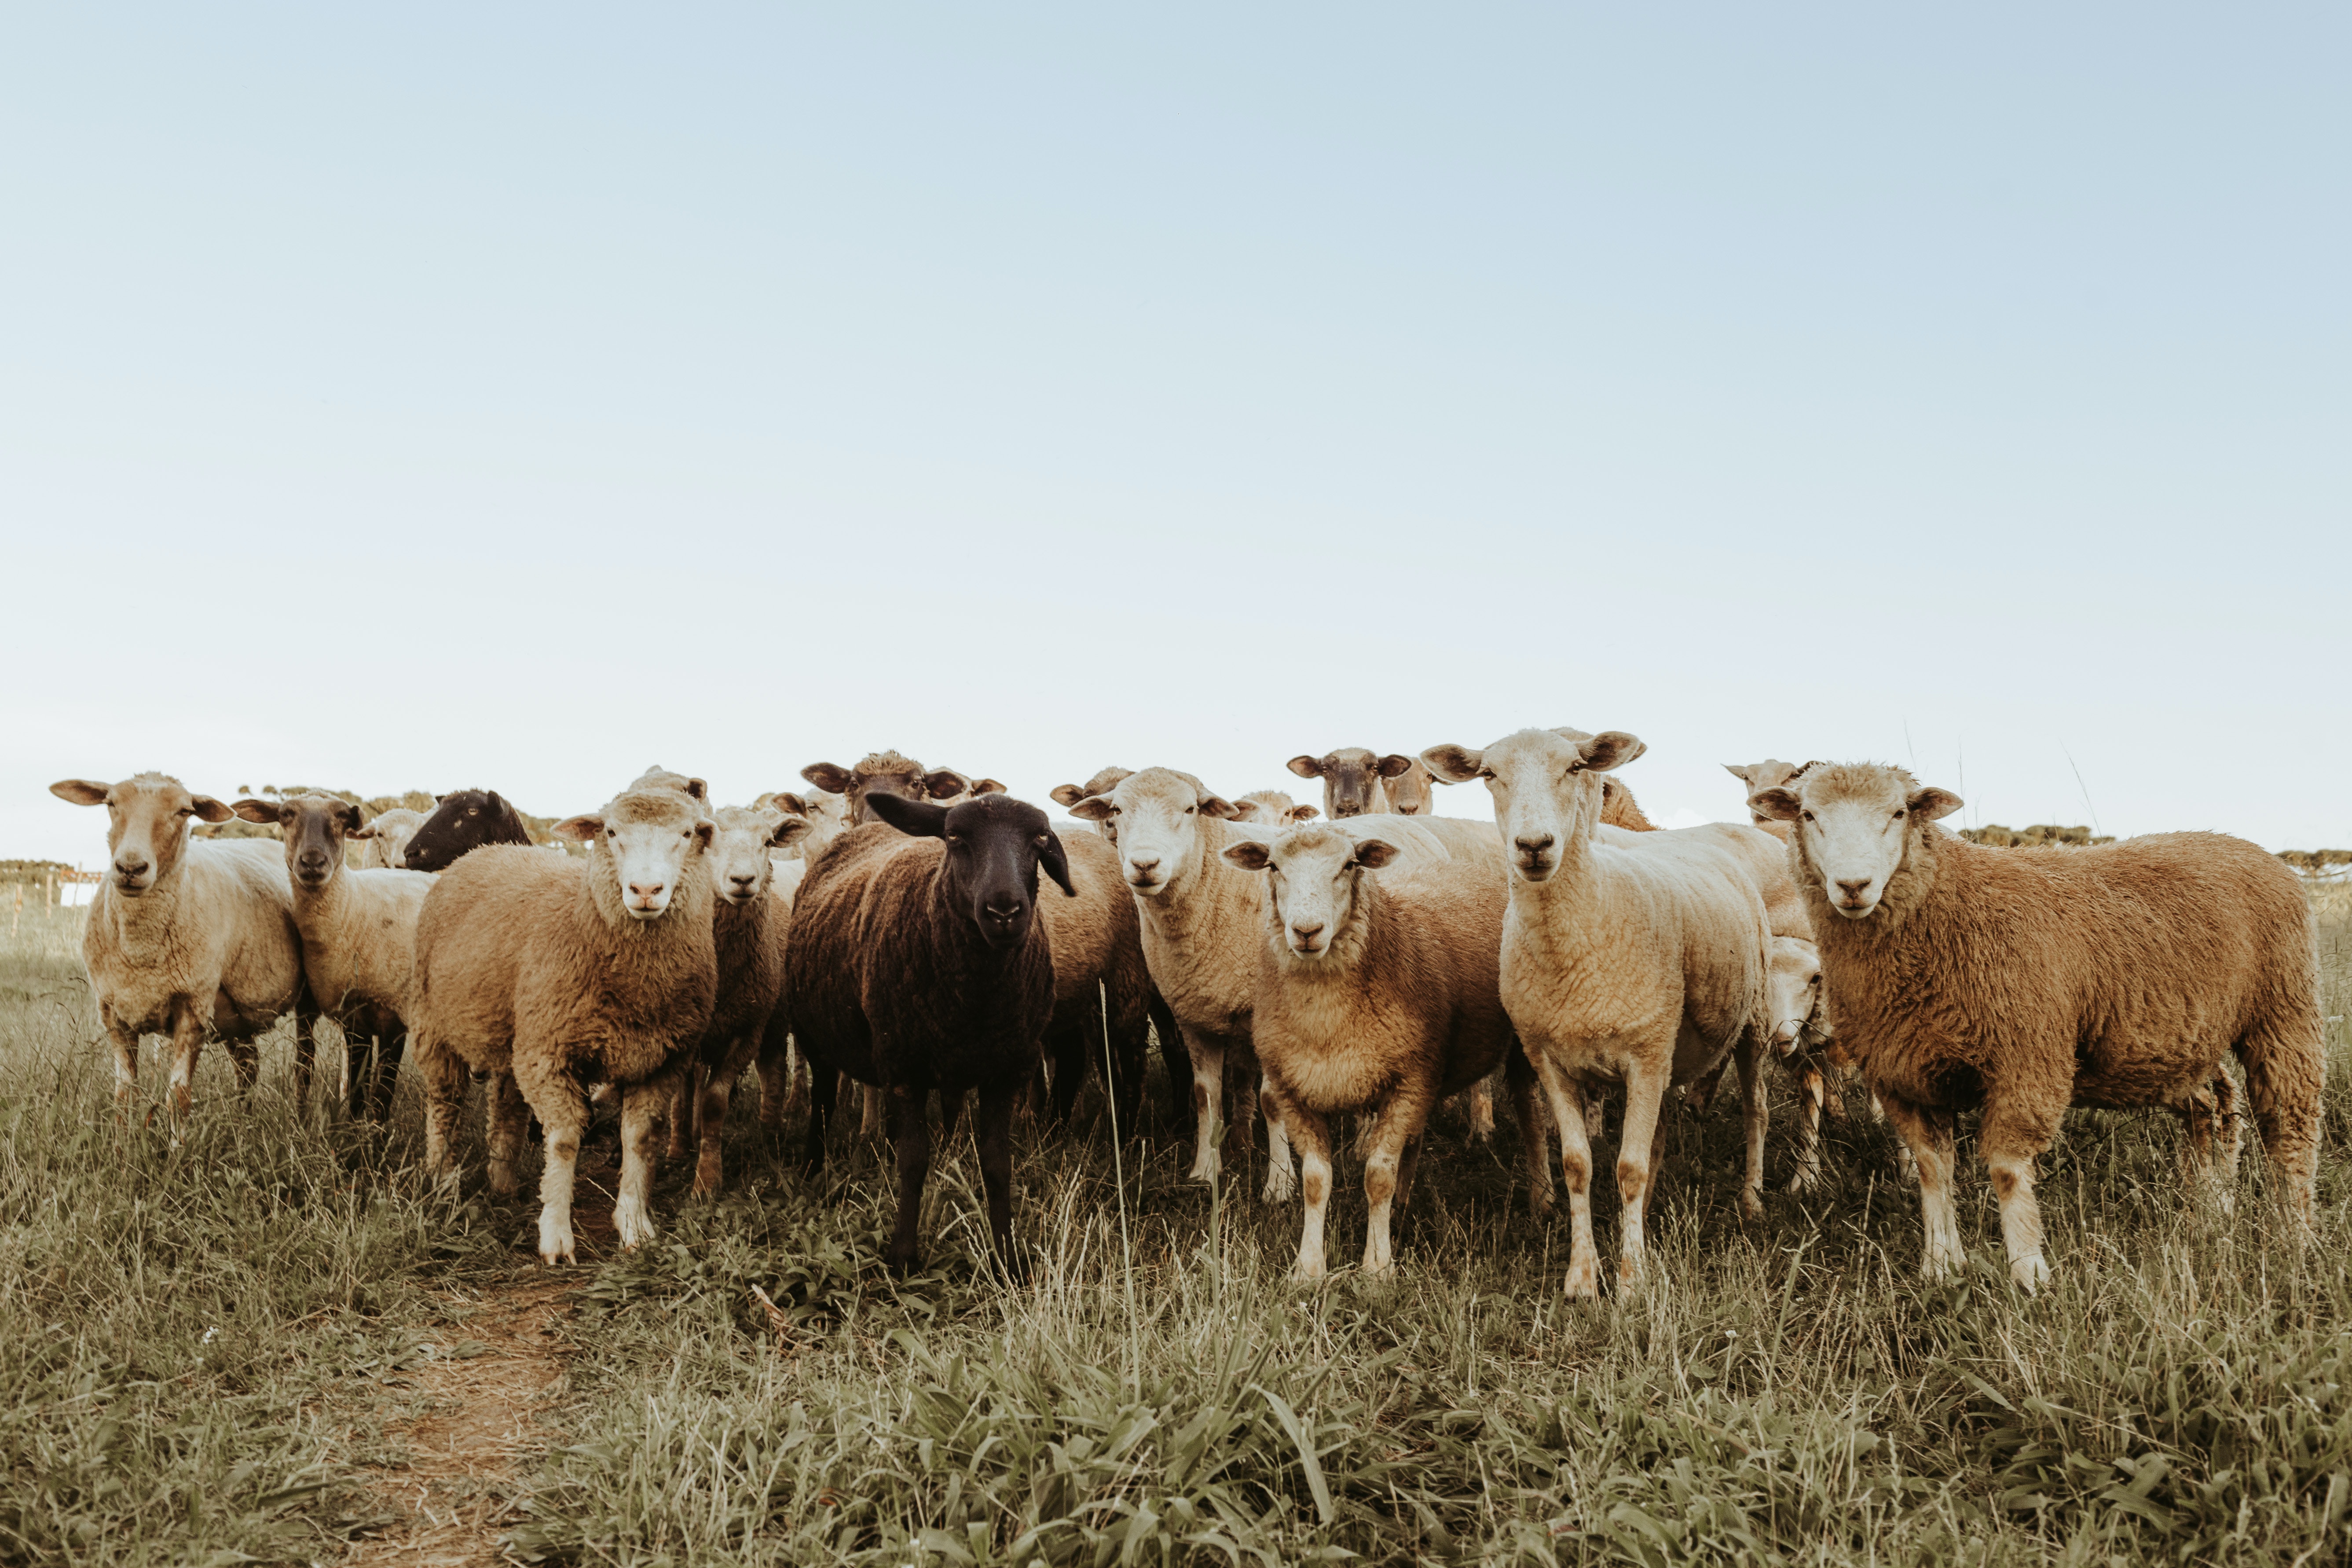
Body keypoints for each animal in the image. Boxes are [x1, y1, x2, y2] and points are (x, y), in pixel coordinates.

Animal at [51, 771, 322, 1114]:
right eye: (111, 803)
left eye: (184, 811)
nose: (130, 868)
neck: (142, 952)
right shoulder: (113, 1013)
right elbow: (125, 1097)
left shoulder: (194, 1007)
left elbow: (178, 1099)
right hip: (238, 1012)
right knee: (248, 1066)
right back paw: (243, 1116)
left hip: (304, 998)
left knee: (304, 1061)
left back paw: (299, 1111)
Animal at [1759, 762, 2323, 1288]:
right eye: (1808, 815)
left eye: (1899, 813)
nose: (1853, 886)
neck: (1947, 906)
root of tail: (2249, 847)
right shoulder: (1903, 1074)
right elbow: (1933, 1170)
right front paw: (1941, 1266)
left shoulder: (2025, 1058)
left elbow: (2008, 1170)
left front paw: (2029, 1273)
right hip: (2177, 1043)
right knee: (2213, 1107)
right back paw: (2212, 1208)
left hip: (2283, 1011)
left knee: (2290, 1129)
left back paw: (2295, 1238)